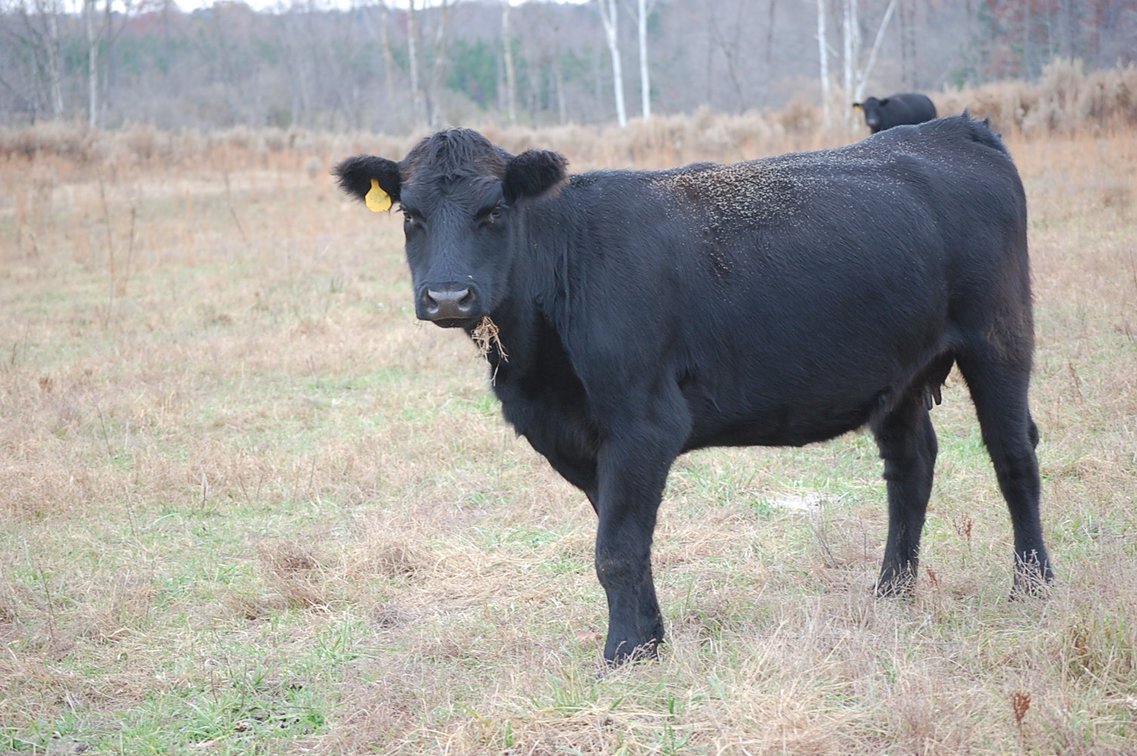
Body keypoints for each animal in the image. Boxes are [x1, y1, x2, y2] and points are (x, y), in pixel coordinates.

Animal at [334, 115, 1053, 665]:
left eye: (493, 210)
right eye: (410, 216)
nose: (447, 295)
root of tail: (953, 128)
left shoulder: (643, 423)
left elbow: (617, 551)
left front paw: (623, 653)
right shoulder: (577, 438)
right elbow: (628, 545)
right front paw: (651, 641)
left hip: (998, 338)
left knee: (1013, 458)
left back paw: (1032, 586)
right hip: (897, 371)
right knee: (910, 468)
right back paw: (891, 591)